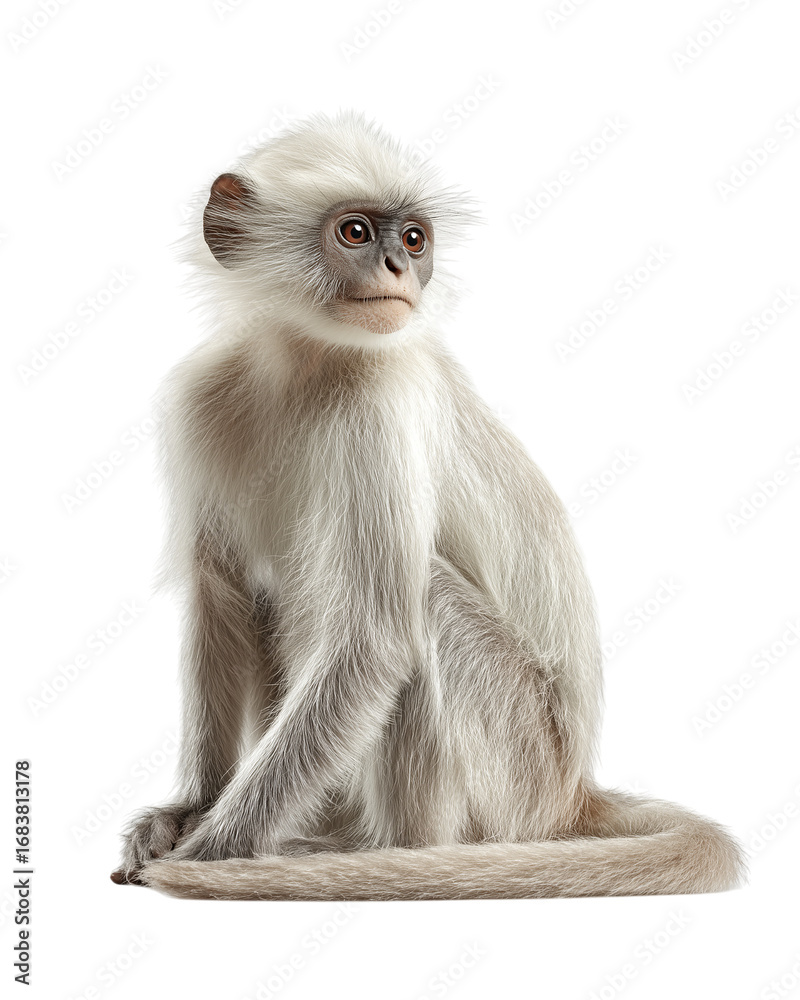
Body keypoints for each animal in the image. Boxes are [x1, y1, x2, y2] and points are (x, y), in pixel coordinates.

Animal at [111, 112, 745, 899]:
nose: (396, 268)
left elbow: (375, 642)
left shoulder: (380, 396)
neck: (304, 361)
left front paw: (212, 847)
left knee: (426, 604)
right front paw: (186, 811)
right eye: (356, 232)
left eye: (413, 240)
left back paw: (387, 854)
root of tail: (572, 793)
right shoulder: (202, 396)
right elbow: (220, 599)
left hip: (519, 770)